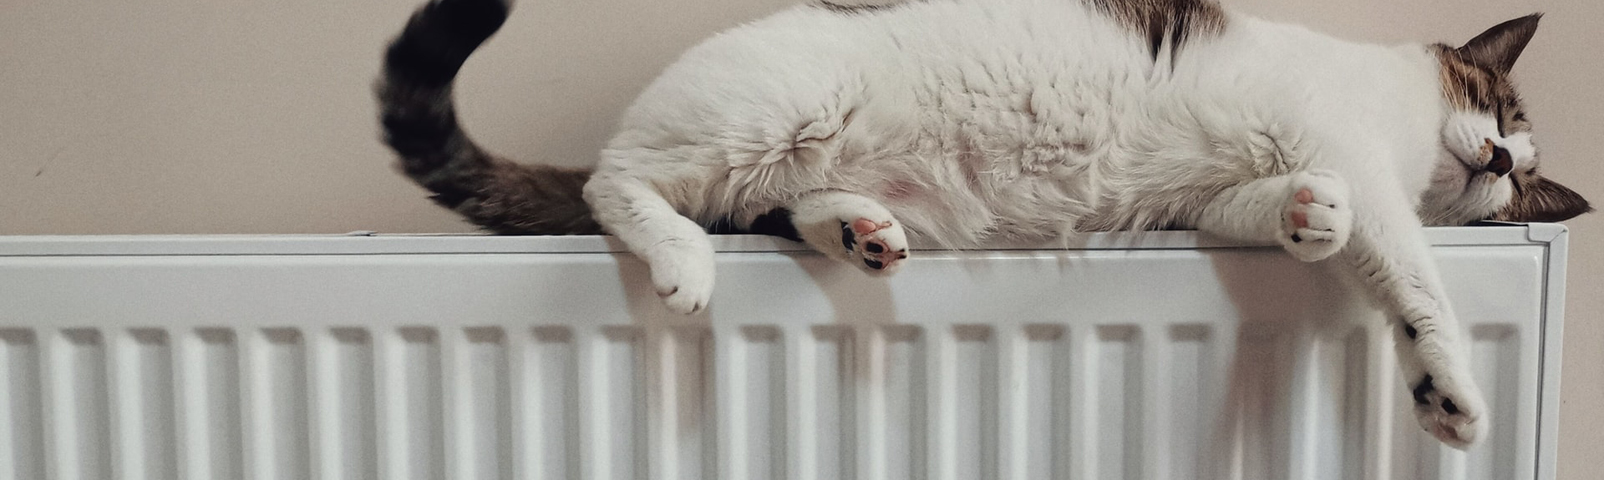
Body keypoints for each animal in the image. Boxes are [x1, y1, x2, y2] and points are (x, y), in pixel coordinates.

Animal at [378, 0, 1591, 449]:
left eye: (1518, 181)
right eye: (1499, 115)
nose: (1496, 160)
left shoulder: (1215, 199)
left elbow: (1300, 215)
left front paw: (1304, 217)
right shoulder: (1358, 159)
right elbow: (1411, 276)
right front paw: (1449, 391)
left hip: (787, 162)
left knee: (782, 209)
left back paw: (859, 232)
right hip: (765, 117)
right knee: (616, 185)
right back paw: (680, 261)